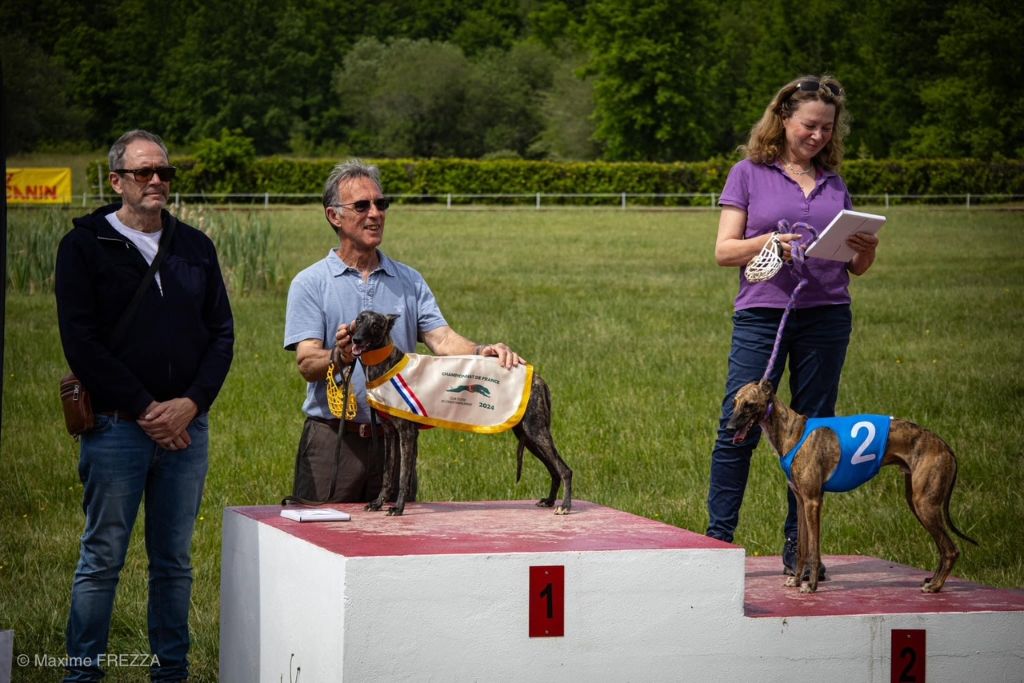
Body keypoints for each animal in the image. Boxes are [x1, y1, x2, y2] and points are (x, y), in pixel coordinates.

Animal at [344, 311, 569, 518]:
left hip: (535, 431)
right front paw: (378, 503)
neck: (386, 364)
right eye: (359, 320)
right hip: (528, 435)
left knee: (564, 469)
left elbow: (402, 477)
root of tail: (538, 378)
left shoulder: (407, 433)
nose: (356, 340)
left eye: (376, 324)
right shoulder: (390, 433)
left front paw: (398, 508)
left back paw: (565, 506)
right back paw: (550, 501)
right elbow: (387, 475)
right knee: (554, 469)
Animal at [729, 378, 974, 593]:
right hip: (916, 500)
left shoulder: (813, 501)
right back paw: (932, 580)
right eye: (734, 403)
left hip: (924, 504)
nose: (729, 427)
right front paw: (797, 581)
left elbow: (814, 550)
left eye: (750, 404)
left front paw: (811, 586)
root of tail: (945, 446)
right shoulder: (801, 501)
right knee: (944, 548)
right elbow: (802, 549)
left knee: (951, 550)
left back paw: (935, 586)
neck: (792, 431)